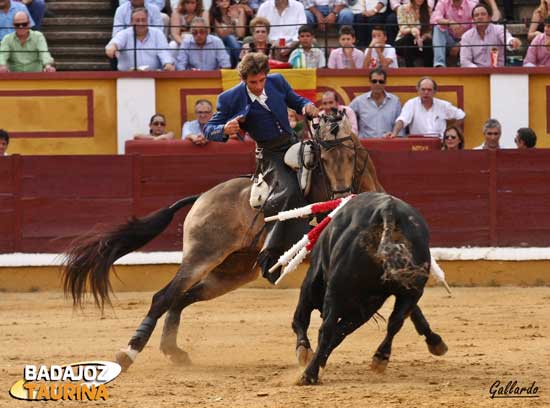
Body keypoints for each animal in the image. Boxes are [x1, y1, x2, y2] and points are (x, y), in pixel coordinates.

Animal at [62, 110, 386, 372]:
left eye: (351, 156)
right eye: (324, 159)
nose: (341, 196)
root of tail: (203, 196)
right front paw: (306, 350)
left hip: (233, 271)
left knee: (181, 297)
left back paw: (174, 351)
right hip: (202, 256)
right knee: (163, 297)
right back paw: (129, 353)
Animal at [294, 193, 448, 384]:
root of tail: (388, 210)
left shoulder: (312, 284)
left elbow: (301, 321)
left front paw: (305, 354)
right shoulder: (366, 306)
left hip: (336, 290)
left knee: (326, 328)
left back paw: (309, 374)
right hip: (410, 290)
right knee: (394, 322)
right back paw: (381, 357)